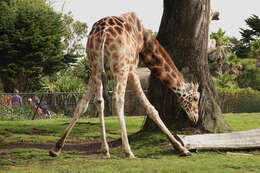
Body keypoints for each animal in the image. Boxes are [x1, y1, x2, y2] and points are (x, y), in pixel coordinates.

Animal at [50, 11, 201, 158]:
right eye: (195, 98)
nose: (195, 119)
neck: (144, 41)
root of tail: (103, 33)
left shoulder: (97, 75)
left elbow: (82, 105)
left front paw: (57, 148)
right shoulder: (132, 69)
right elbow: (151, 108)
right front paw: (182, 149)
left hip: (95, 65)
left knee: (98, 100)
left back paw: (105, 150)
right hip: (120, 67)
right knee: (117, 99)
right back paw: (128, 151)